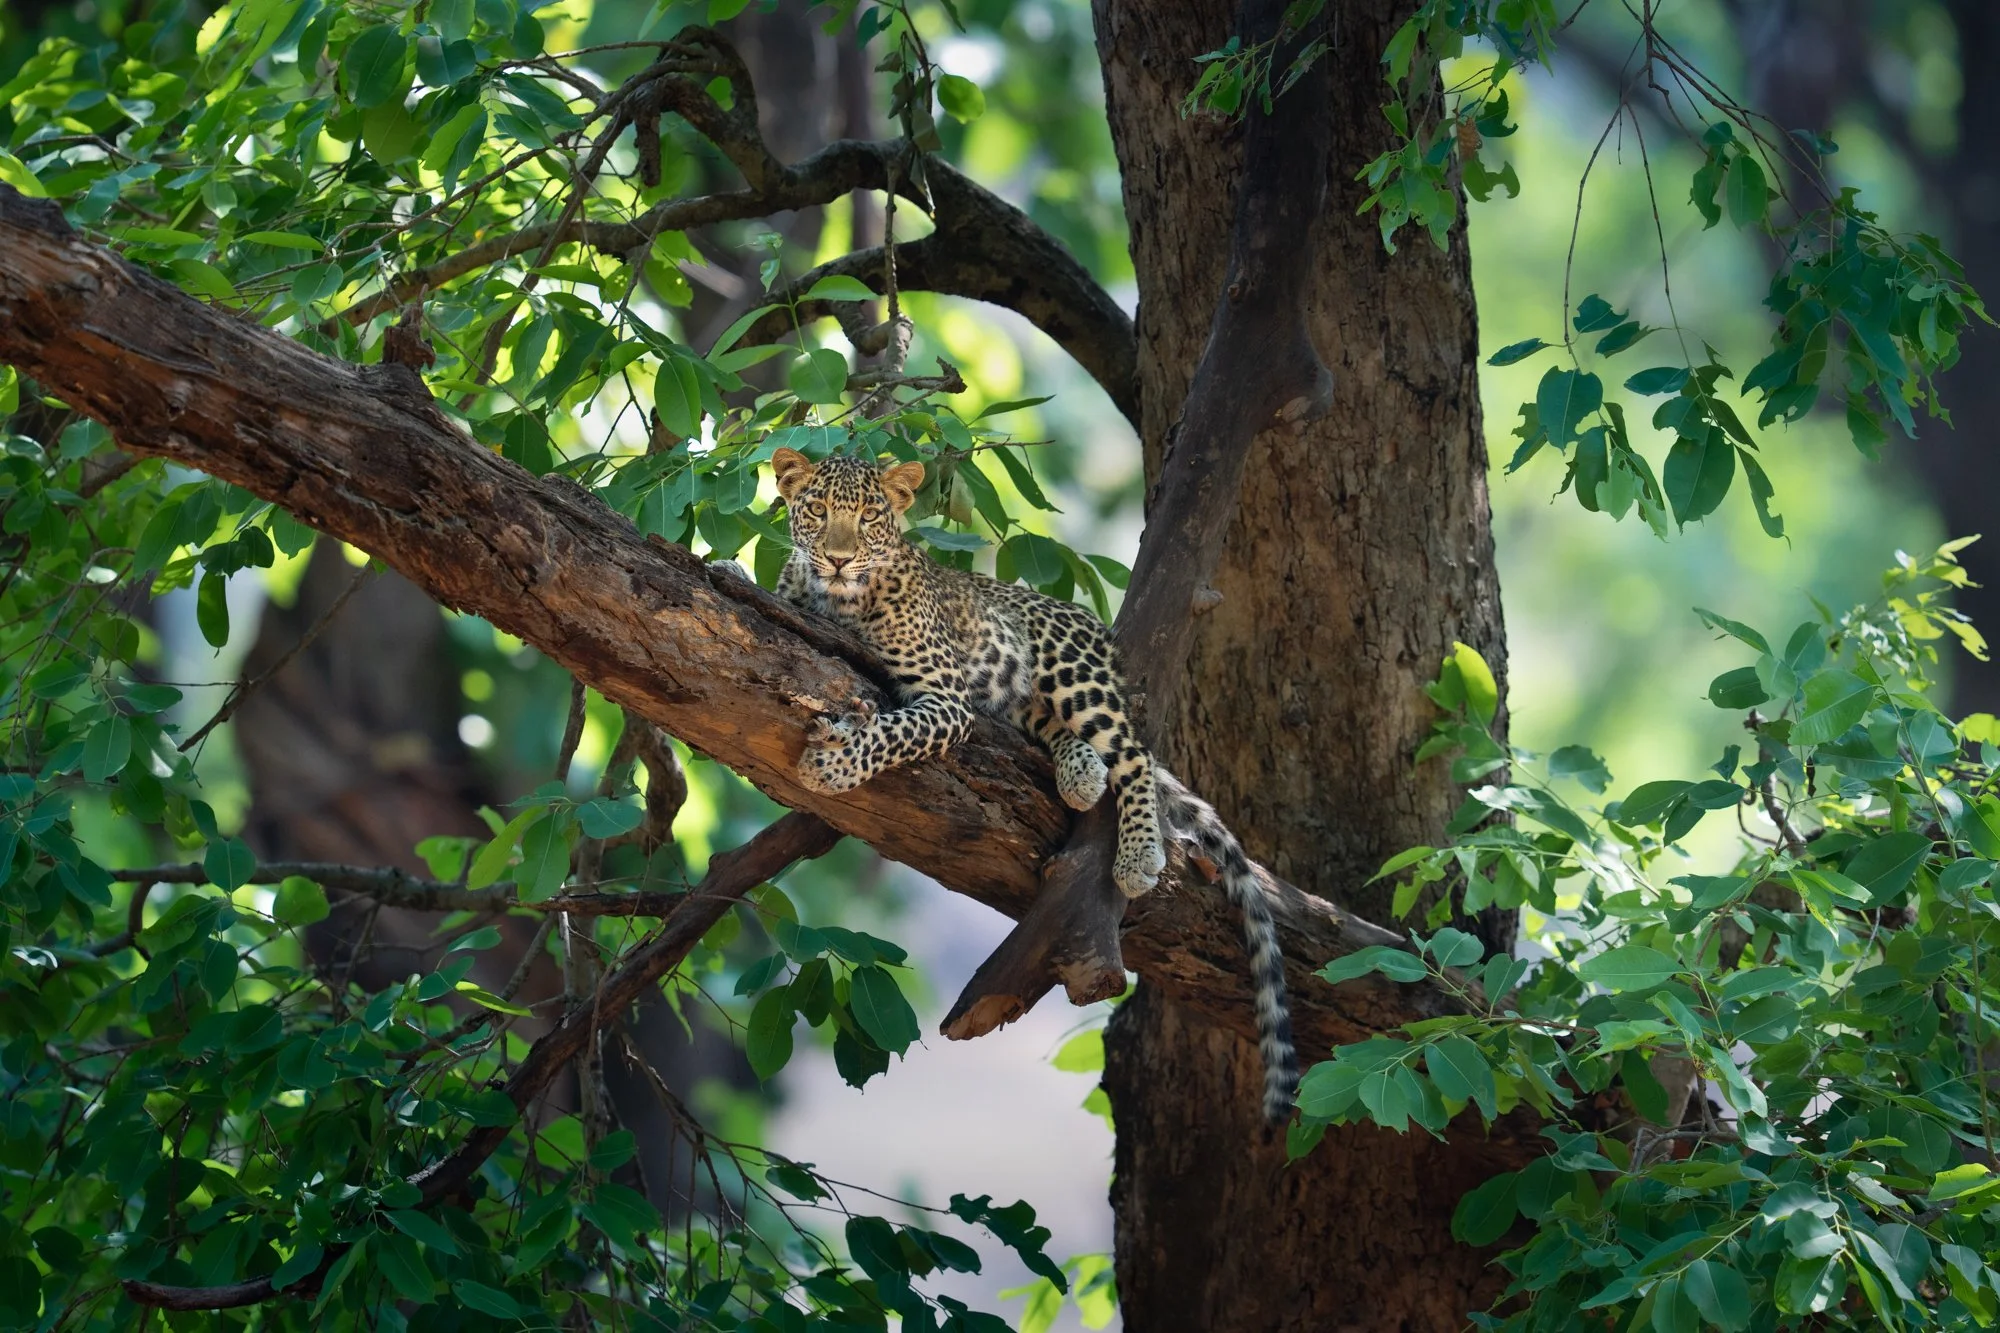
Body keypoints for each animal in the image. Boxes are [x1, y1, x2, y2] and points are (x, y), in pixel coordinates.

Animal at [763, 446, 1298, 1121]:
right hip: (1021, 699)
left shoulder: (947, 700)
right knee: (1059, 730)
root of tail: (1088, 623)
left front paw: (829, 766)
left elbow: (893, 732)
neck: (840, 600)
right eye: (817, 512)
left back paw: (1137, 852)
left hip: (1072, 672)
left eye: (867, 517)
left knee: (1134, 752)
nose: (836, 558)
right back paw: (1080, 773)